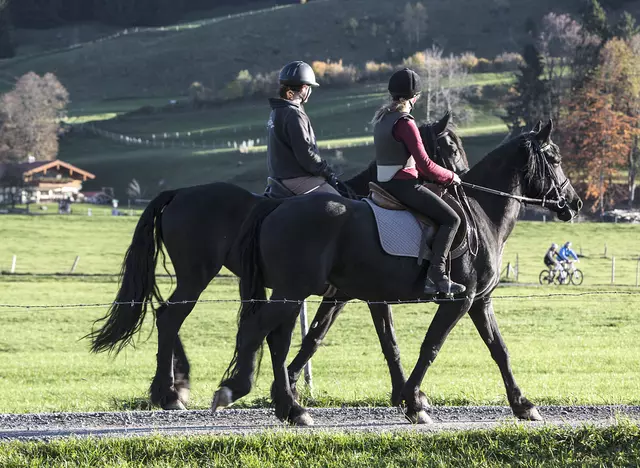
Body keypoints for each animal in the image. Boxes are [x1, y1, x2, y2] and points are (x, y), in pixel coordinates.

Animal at [92, 118, 584, 428]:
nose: (575, 204)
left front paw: (522, 405)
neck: (479, 212)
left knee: (244, 328)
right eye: (555, 157)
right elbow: (426, 347)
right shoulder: (456, 299)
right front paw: (414, 402)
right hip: (221, 278)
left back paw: (258, 398)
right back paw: (187, 390)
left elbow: (491, 350)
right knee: (187, 320)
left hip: (275, 287)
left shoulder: (461, 300)